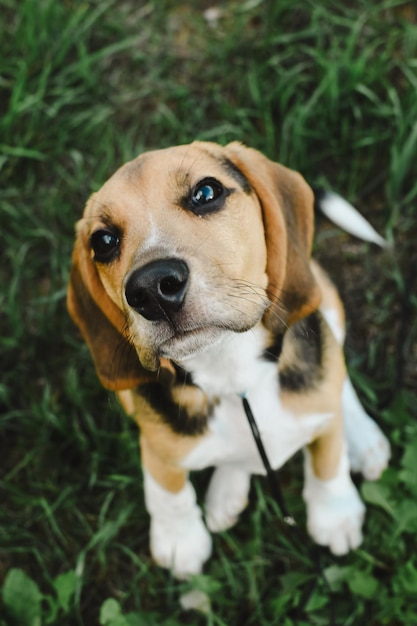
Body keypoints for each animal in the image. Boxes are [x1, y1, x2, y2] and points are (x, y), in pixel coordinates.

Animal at [66, 140, 388, 576]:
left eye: (206, 193)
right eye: (103, 241)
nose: (151, 288)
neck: (231, 371)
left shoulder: (320, 406)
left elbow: (327, 457)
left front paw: (334, 513)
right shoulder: (156, 440)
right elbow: (166, 491)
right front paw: (179, 540)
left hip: (322, 297)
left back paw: (364, 439)